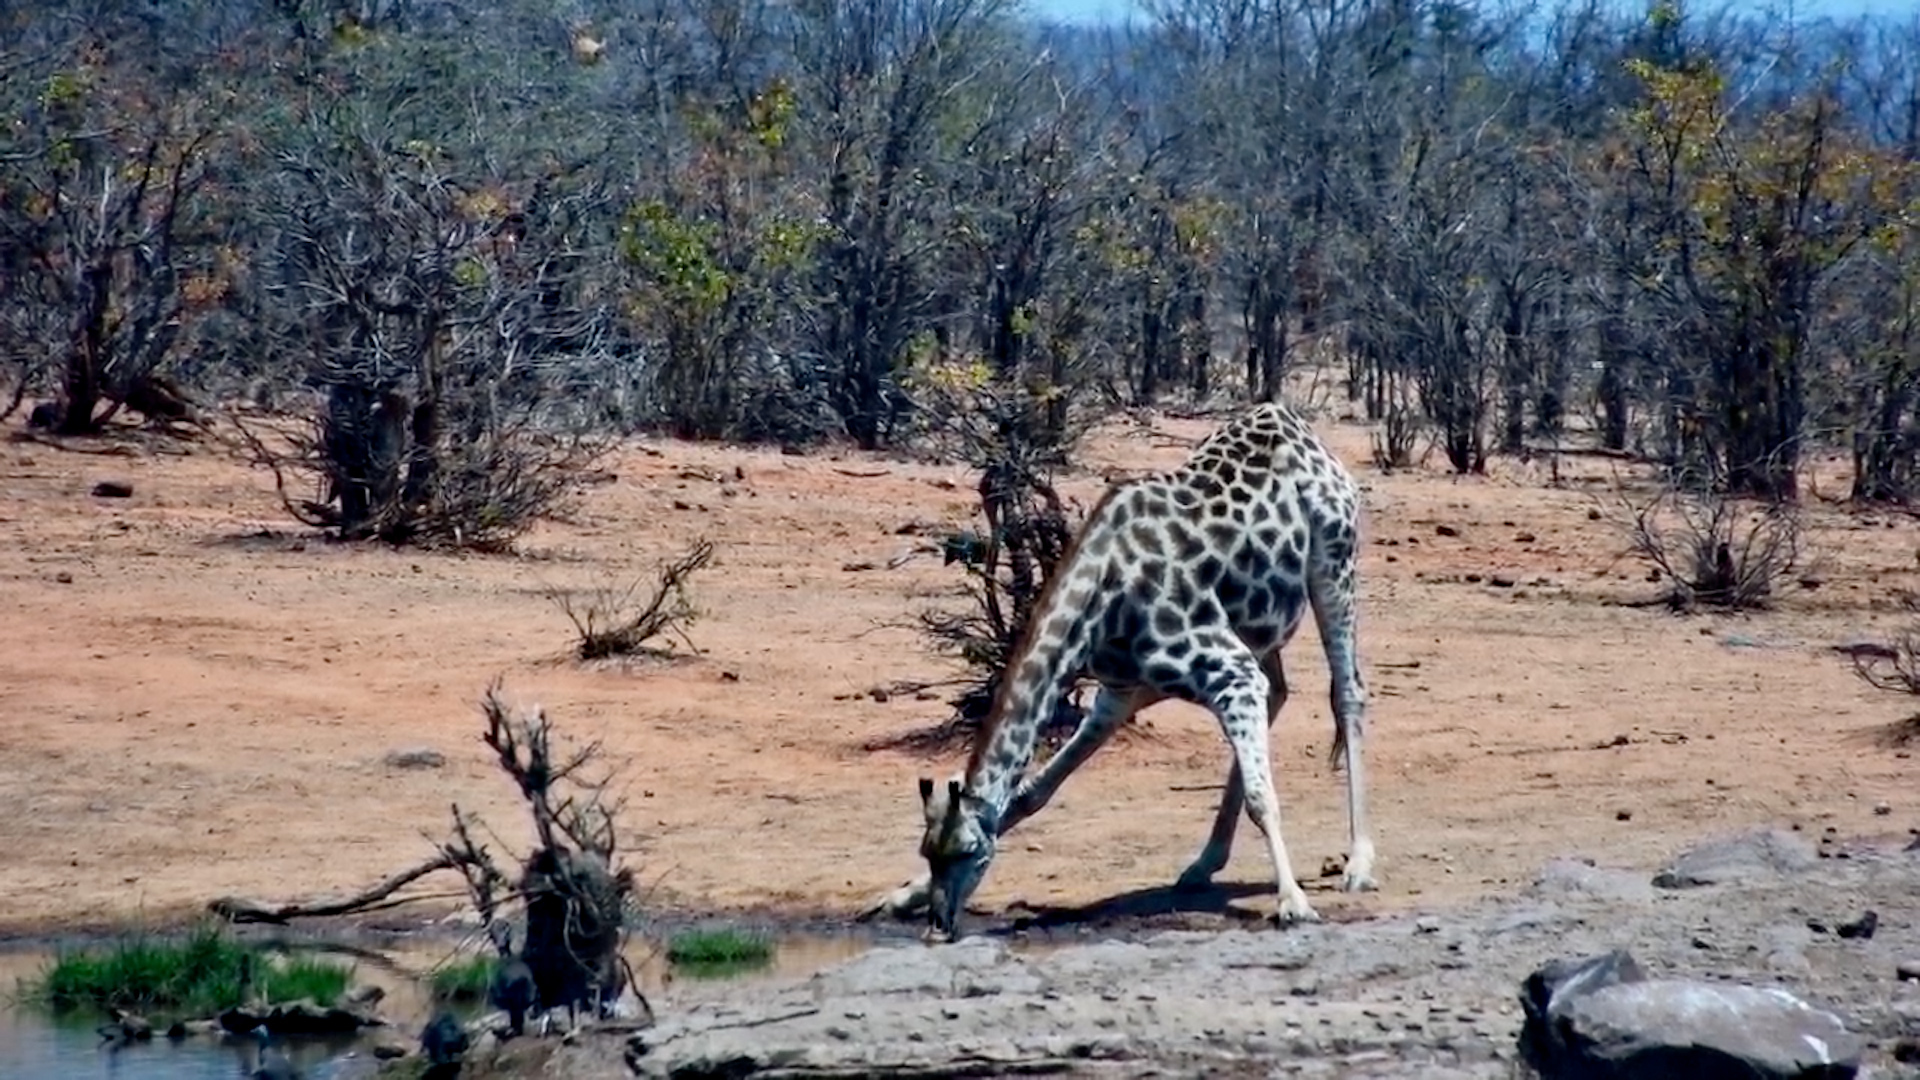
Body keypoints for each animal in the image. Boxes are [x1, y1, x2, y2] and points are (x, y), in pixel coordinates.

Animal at [870, 401, 1375, 938]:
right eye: (928, 851)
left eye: (968, 852)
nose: (939, 925)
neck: (1103, 595)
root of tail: (1290, 420)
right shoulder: (1120, 689)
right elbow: (1029, 792)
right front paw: (901, 895)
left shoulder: (1230, 669)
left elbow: (1264, 796)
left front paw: (1293, 902)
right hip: (1256, 623)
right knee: (1278, 691)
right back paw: (1204, 863)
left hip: (1333, 563)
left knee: (1347, 693)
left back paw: (1359, 863)